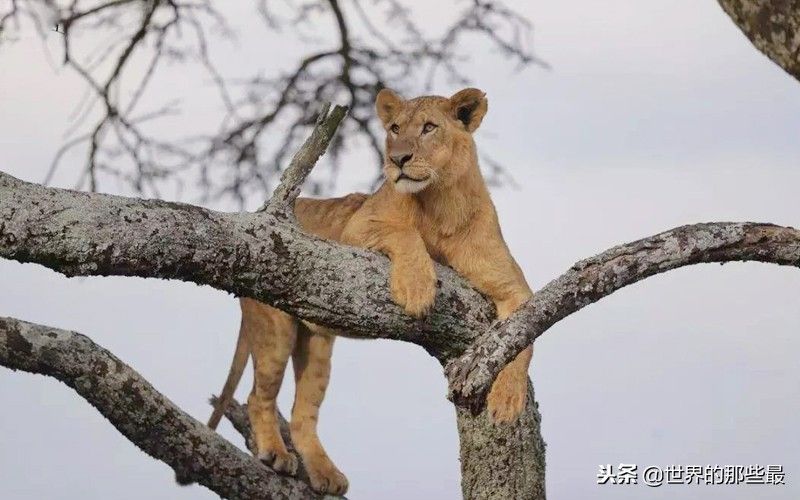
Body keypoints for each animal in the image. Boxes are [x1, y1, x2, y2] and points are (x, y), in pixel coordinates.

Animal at [208, 88, 532, 494]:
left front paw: (507, 400)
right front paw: (416, 288)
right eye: (394, 128)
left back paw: (326, 475)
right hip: (274, 328)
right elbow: (403, 232)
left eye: (429, 127)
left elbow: (522, 339)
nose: (398, 160)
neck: (440, 203)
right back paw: (275, 454)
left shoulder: (515, 288)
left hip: (316, 345)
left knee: (302, 414)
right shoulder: (355, 228)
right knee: (257, 396)